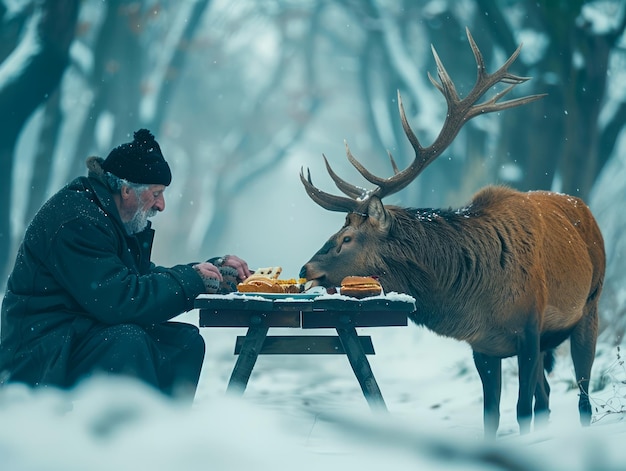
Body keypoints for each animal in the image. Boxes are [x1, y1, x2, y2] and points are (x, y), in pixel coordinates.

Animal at [300, 28, 604, 438]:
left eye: (347, 239)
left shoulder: (529, 329)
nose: (305, 269)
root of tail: (584, 209)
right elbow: (492, 415)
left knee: (582, 394)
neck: (480, 294)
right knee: (547, 396)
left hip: (590, 305)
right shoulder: (484, 346)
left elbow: (521, 410)